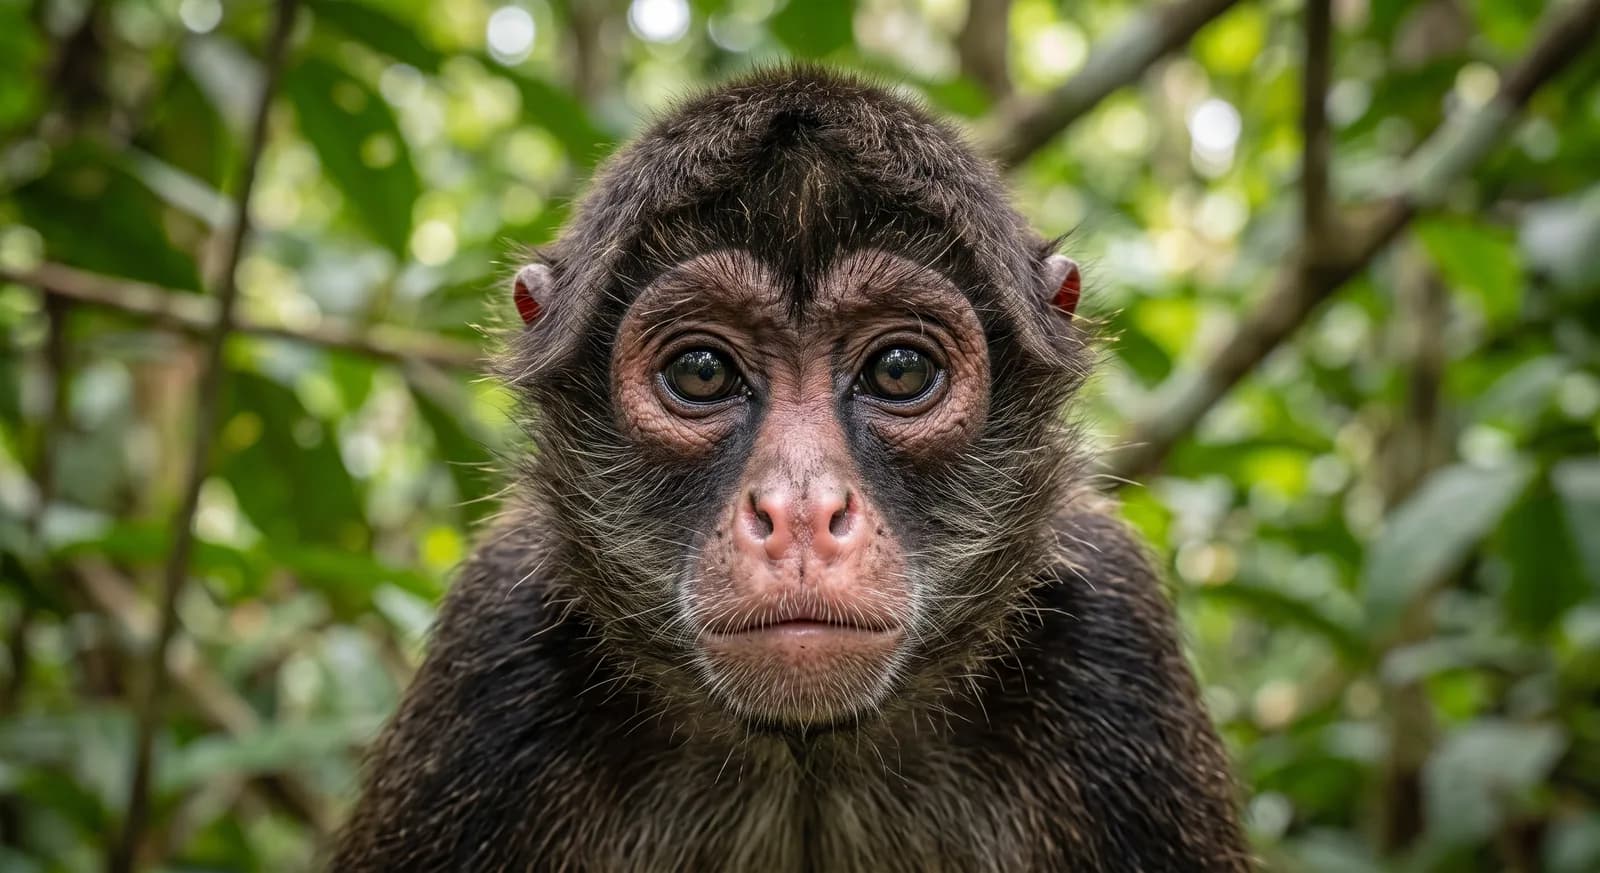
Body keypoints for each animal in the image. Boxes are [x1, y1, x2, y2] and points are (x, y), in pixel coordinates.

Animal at [330, 67, 1252, 872]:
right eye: (702, 371)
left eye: (900, 371)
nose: (800, 509)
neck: (804, 759)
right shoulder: (493, 648)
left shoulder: (1114, 638)